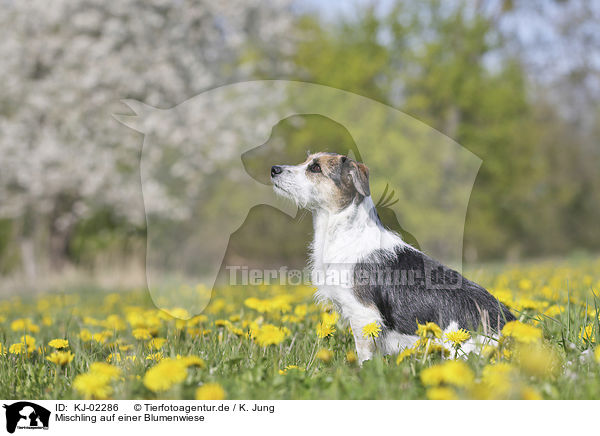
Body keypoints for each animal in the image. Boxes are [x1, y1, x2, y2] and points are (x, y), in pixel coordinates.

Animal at [272, 152, 516, 362]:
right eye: (306, 161)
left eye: (315, 168)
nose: (274, 169)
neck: (346, 232)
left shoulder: (364, 314)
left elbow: (364, 355)